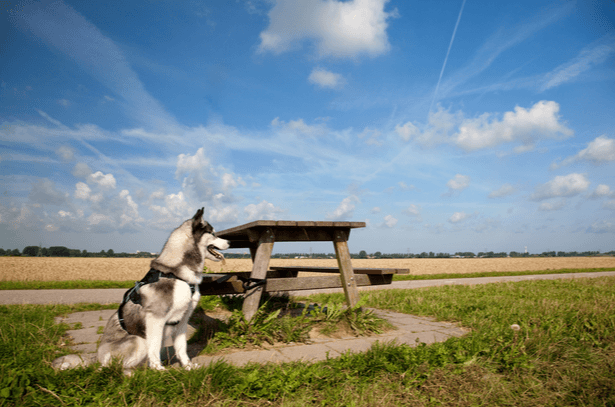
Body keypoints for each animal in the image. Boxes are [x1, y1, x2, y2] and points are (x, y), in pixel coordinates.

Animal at [96, 209, 229, 372]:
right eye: (213, 233)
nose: (230, 242)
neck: (176, 274)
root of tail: (98, 360)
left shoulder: (183, 319)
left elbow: (182, 347)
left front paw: (188, 366)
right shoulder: (155, 319)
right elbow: (154, 347)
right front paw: (158, 370)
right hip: (138, 340)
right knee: (119, 367)